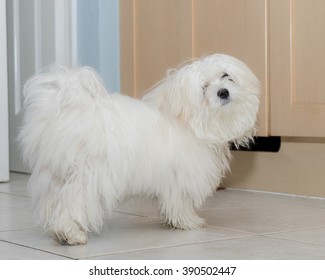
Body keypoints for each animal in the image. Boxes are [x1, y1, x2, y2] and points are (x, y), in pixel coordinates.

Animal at [19, 53, 258, 244]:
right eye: (203, 88)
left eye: (226, 76)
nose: (223, 92)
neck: (190, 123)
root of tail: (64, 113)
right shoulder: (180, 176)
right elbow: (180, 202)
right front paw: (188, 222)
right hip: (89, 177)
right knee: (72, 202)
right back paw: (71, 234)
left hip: (54, 177)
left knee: (55, 202)